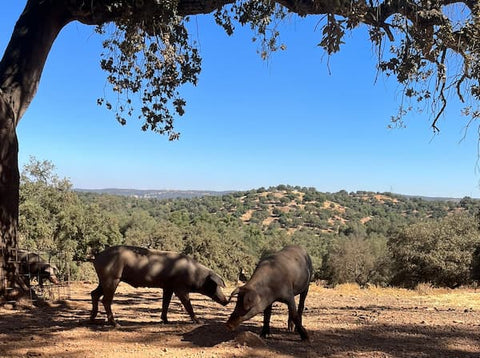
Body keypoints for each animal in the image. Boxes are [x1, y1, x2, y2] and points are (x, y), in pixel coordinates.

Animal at [92, 246, 231, 328]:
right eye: (215, 285)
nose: (225, 301)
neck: (195, 274)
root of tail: (97, 257)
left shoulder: (168, 287)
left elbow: (166, 303)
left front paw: (165, 321)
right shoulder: (180, 288)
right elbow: (188, 304)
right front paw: (199, 321)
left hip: (104, 280)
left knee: (94, 293)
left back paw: (92, 319)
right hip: (112, 279)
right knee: (105, 300)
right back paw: (116, 325)